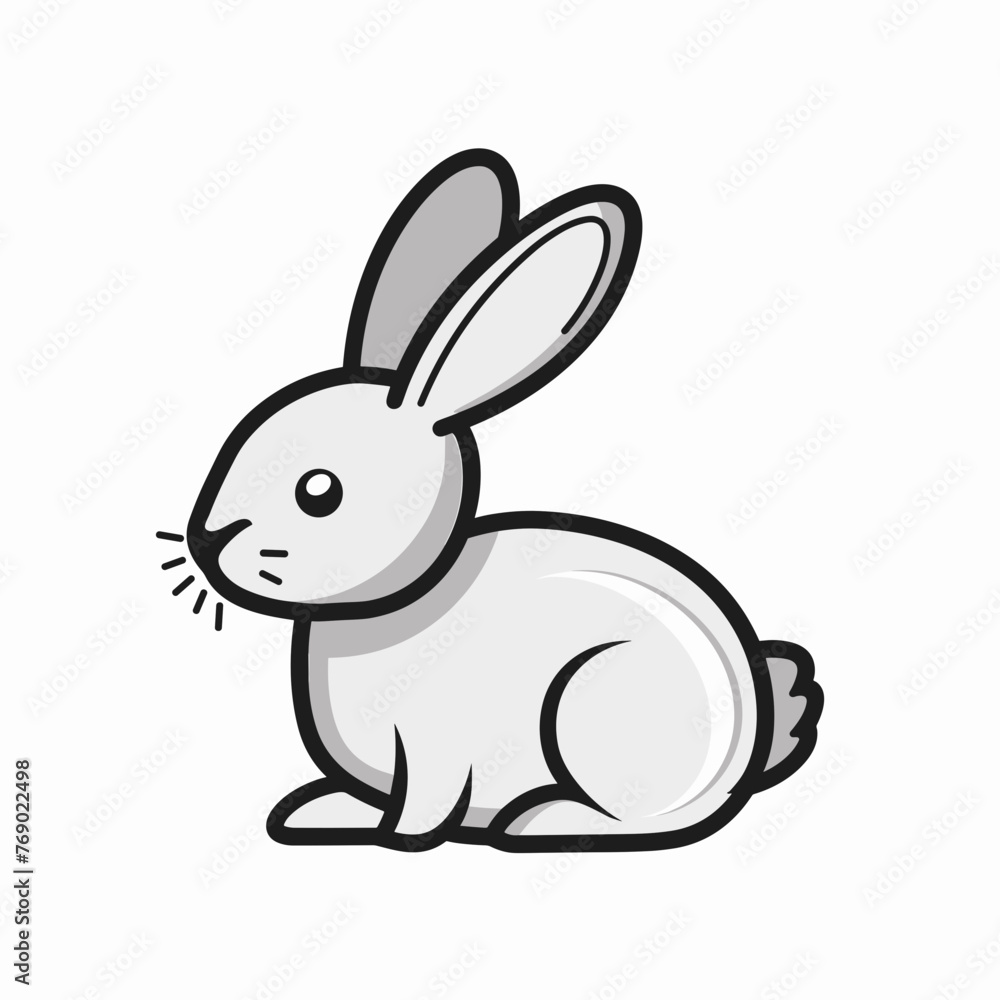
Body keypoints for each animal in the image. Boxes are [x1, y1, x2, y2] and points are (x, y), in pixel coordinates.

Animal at [183, 148, 822, 853]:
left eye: (318, 491)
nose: (207, 541)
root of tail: (743, 758)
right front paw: (320, 812)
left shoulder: (432, 752)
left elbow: (423, 805)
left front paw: (396, 838)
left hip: (589, 707)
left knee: (651, 819)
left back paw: (540, 819)